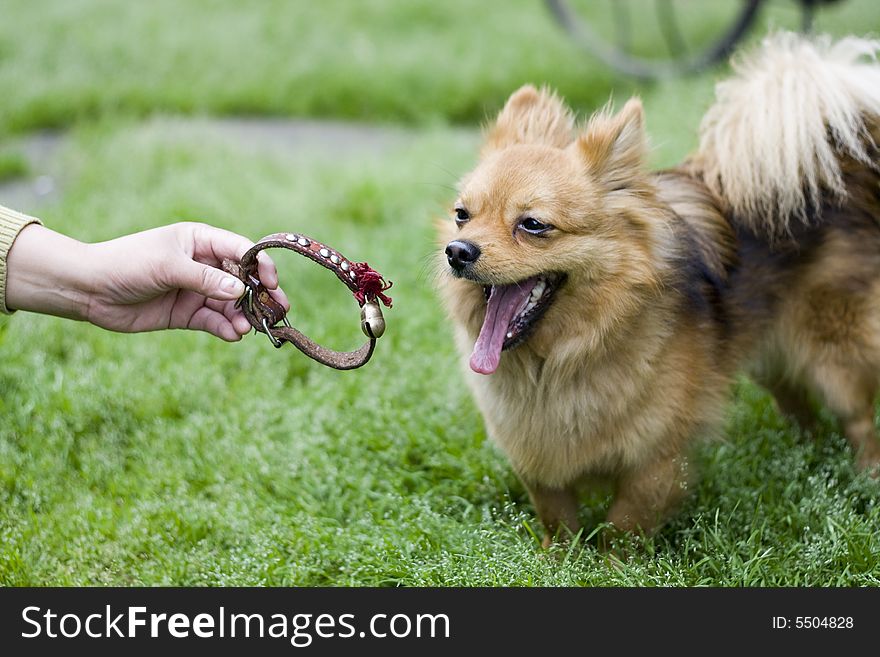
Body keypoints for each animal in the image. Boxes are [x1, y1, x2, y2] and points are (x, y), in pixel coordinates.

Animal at [440, 32, 880, 544]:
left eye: (532, 225)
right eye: (462, 215)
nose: (457, 250)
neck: (561, 359)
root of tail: (836, 161)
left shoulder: (657, 459)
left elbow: (623, 525)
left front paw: (607, 560)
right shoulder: (540, 460)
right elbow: (558, 519)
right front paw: (559, 556)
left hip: (834, 359)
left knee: (859, 421)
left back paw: (864, 478)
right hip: (770, 355)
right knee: (797, 404)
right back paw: (804, 455)